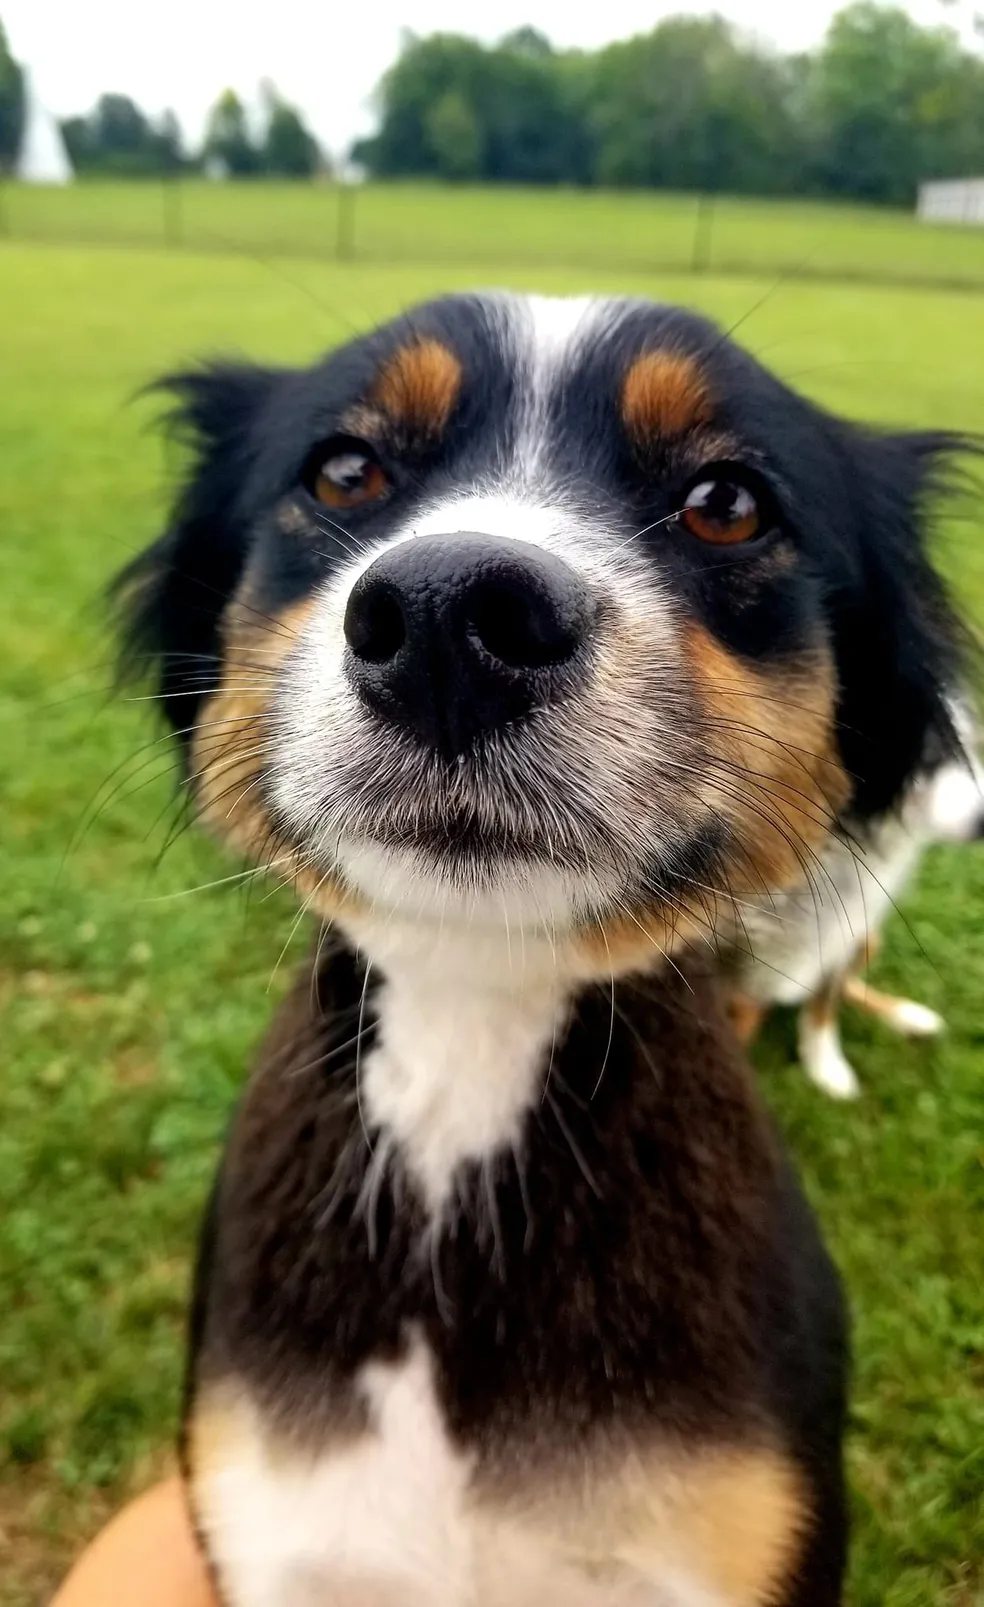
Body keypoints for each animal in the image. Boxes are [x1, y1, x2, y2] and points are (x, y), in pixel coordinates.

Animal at [726, 700, 977, 1092]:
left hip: (869, 940)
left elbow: (823, 1007)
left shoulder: (840, 934)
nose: (982, 824)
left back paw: (908, 1017)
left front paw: (825, 1069)